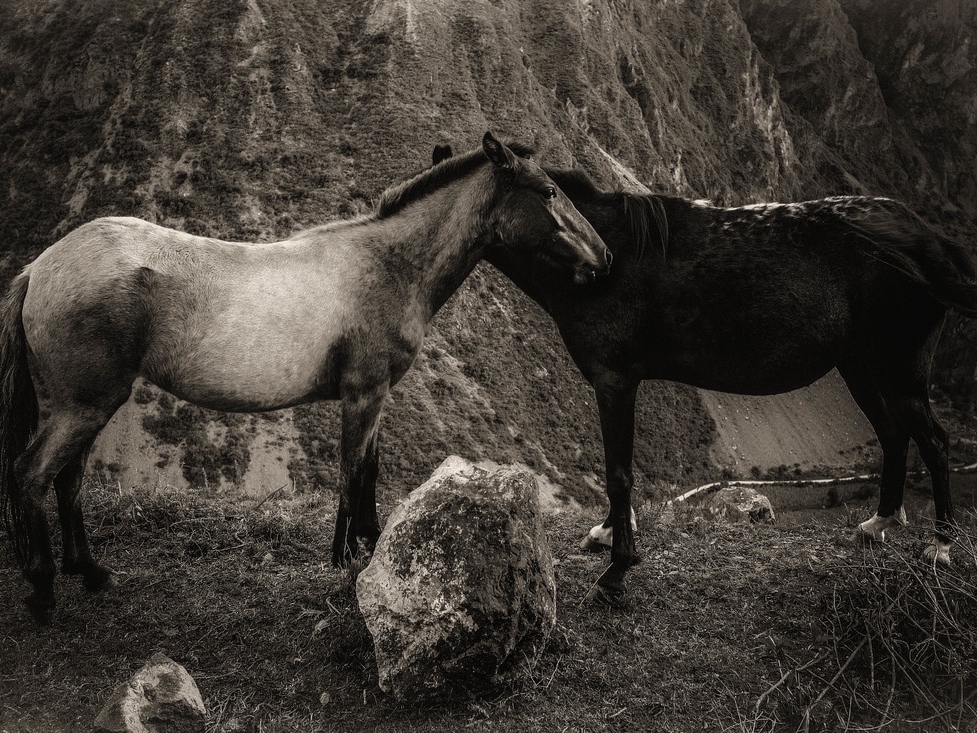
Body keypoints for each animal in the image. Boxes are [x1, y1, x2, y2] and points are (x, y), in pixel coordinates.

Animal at [0, 132, 611, 624]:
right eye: (548, 192)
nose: (603, 257)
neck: (388, 266)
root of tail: (41, 267)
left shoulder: (377, 396)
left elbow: (369, 470)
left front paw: (370, 543)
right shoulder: (363, 394)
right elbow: (350, 473)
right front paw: (344, 560)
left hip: (83, 405)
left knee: (68, 479)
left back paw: (91, 571)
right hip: (84, 405)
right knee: (32, 474)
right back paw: (43, 590)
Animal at [433, 144, 977, 606]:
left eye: (550, 193)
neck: (608, 255)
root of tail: (923, 236)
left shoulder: (615, 380)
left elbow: (618, 471)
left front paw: (617, 568)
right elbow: (618, 467)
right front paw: (606, 534)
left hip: (898, 370)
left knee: (933, 440)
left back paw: (942, 545)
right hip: (860, 367)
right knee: (894, 435)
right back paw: (879, 523)